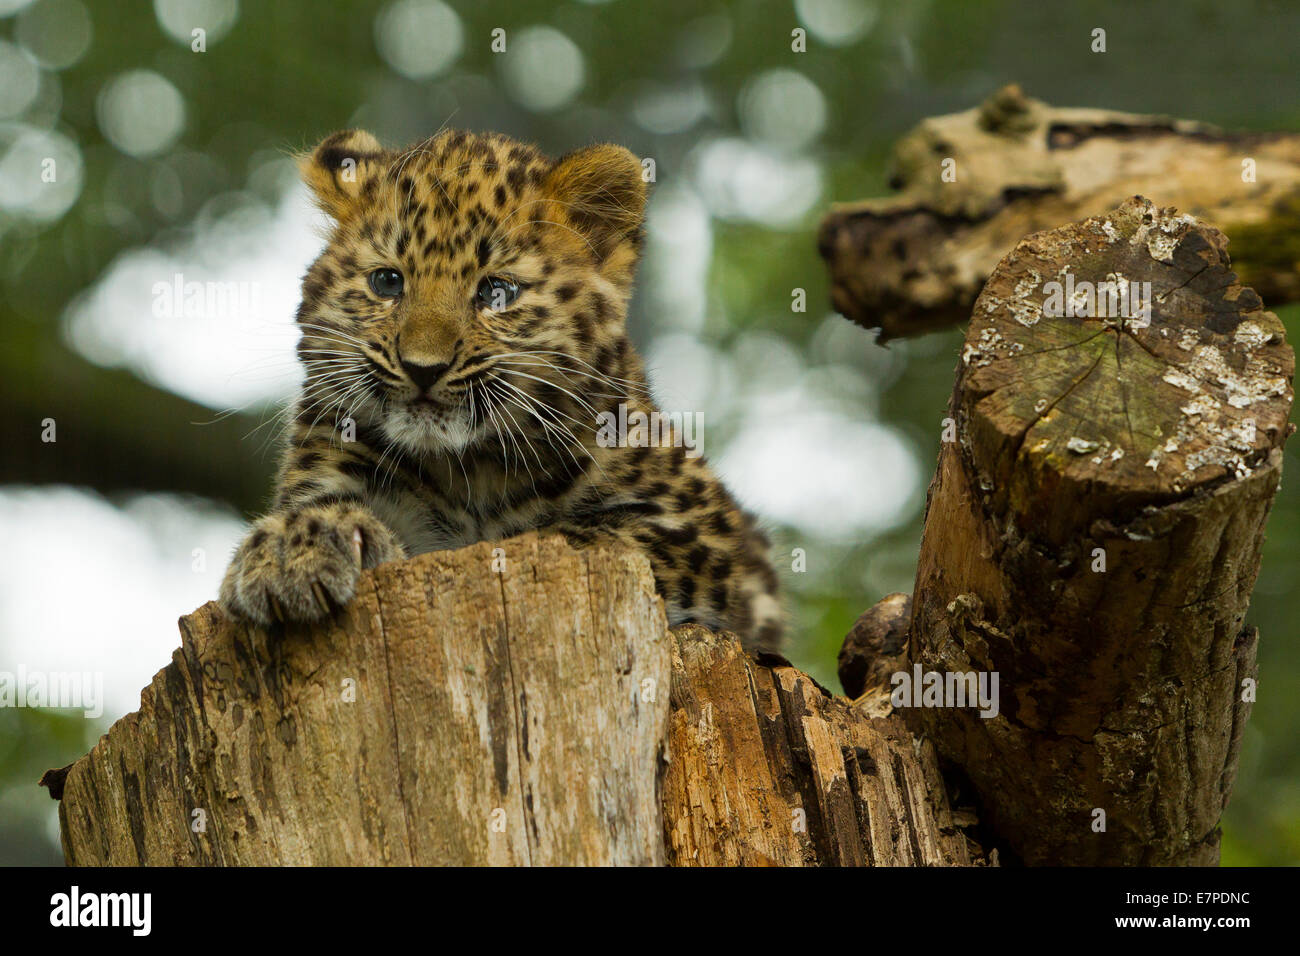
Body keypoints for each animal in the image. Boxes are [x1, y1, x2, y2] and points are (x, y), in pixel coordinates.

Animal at [218, 127, 783, 651]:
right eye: (387, 282)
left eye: (496, 292)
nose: (423, 368)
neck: (471, 467)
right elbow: (317, 506)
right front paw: (294, 548)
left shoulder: (707, 534)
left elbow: (591, 535)